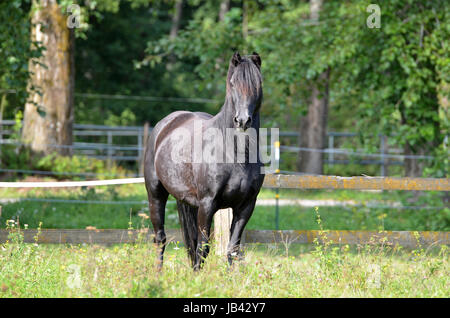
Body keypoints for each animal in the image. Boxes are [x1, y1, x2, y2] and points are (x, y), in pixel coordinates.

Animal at [143, 51, 264, 270]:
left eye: (258, 83)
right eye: (233, 83)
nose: (242, 121)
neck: (235, 153)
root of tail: (165, 124)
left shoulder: (246, 206)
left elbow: (232, 250)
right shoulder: (207, 204)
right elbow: (203, 248)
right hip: (155, 194)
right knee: (160, 239)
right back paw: (158, 273)